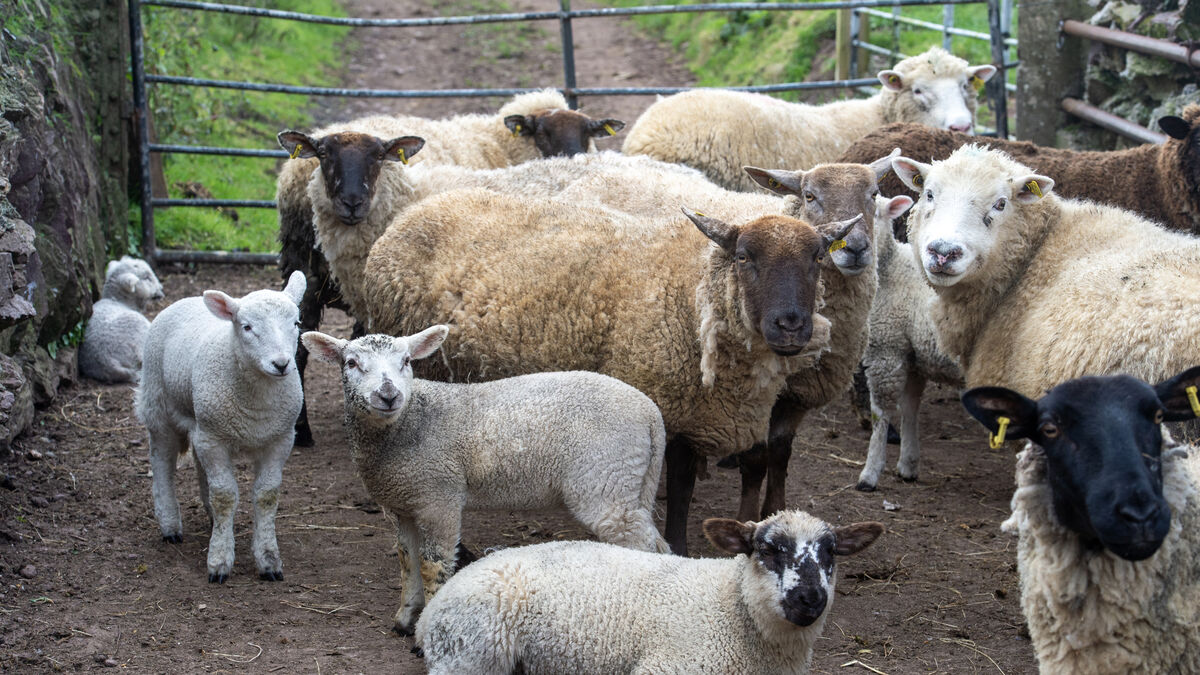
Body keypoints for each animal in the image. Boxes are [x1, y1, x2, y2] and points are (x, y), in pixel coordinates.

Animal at [137, 271, 306, 583]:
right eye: (247, 327)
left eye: (296, 323)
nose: (281, 364)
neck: (257, 403)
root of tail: (187, 299)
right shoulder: (214, 440)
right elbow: (225, 496)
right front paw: (219, 560)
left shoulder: (280, 439)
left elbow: (267, 495)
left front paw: (268, 560)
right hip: (158, 404)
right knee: (162, 461)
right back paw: (170, 525)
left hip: (203, 423)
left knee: (200, 466)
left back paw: (210, 517)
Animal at [301, 327, 670, 634]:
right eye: (351, 363)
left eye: (406, 361)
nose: (389, 395)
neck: (409, 423)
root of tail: (650, 413)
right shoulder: (402, 504)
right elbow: (407, 561)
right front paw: (405, 618)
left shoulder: (439, 496)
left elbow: (433, 563)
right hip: (629, 484)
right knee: (657, 544)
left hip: (606, 481)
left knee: (642, 545)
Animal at [362, 187, 858, 554]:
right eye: (744, 257)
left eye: (817, 258)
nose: (791, 325)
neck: (691, 294)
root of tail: (411, 213)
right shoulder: (669, 408)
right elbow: (680, 489)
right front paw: (679, 547)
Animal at [856, 195, 962, 491]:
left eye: (876, 213)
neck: (891, 269)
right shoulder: (914, 354)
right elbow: (910, 406)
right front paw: (908, 464)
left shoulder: (887, 350)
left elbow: (881, 413)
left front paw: (870, 473)